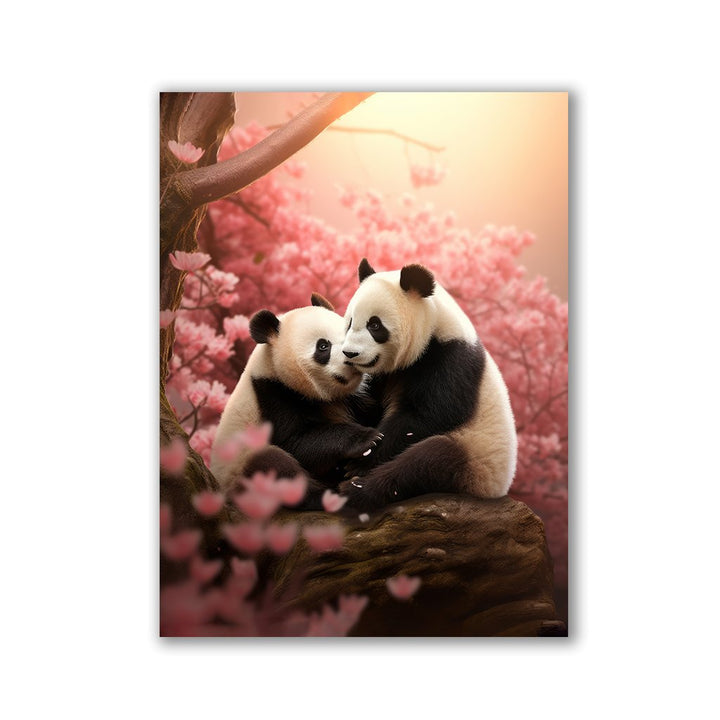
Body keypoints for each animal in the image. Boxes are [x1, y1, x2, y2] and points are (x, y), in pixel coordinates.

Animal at [210, 293, 383, 505]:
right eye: (323, 346)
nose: (352, 357)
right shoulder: (273, 395)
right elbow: (296, 442)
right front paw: (367, 438)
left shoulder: (353, 397)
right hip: (239, 469)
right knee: (275, 466)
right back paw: (328, 496)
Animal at [338, 258, 517, 511]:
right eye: (350, 322)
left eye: (375, 325)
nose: (350, 353)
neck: (434, 325)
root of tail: (494, 492)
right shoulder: (385, 375)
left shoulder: (451, 359)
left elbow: (428, 414)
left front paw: (361, 460)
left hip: (477, 458)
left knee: (426, 462)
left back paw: (356, 491)